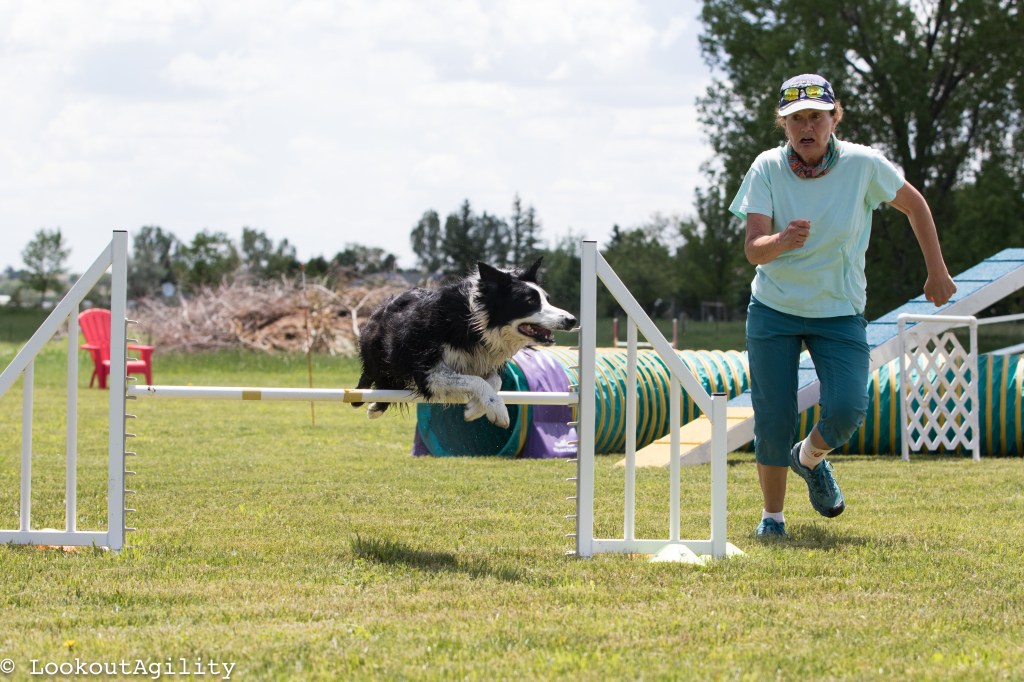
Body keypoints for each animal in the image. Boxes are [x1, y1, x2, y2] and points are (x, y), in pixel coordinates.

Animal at [352, 258, 577, 428]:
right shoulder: (428, 371)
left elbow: (495, 381)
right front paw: (498, 410)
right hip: (379, 357)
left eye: (547, 299)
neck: (475, 324)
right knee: (370, 378)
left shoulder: (483, 361)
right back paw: (363, 401)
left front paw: (474, 409)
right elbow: (475, 380)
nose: (572, 320)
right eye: (530, 301)